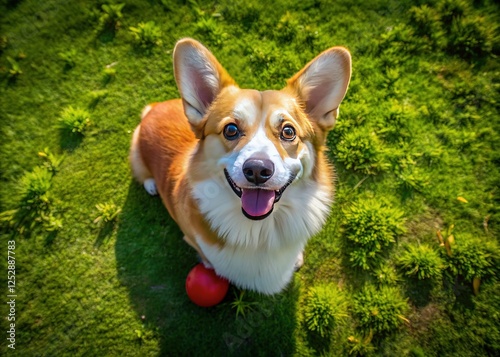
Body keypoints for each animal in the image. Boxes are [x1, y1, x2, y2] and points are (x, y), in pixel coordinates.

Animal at [131, 38, 354, 294]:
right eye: (231, 129)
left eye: (288, 131)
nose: (257, 170)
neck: (260, 231)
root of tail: (152, 109)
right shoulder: (192, 238)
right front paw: (212, 266)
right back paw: (151, 185)